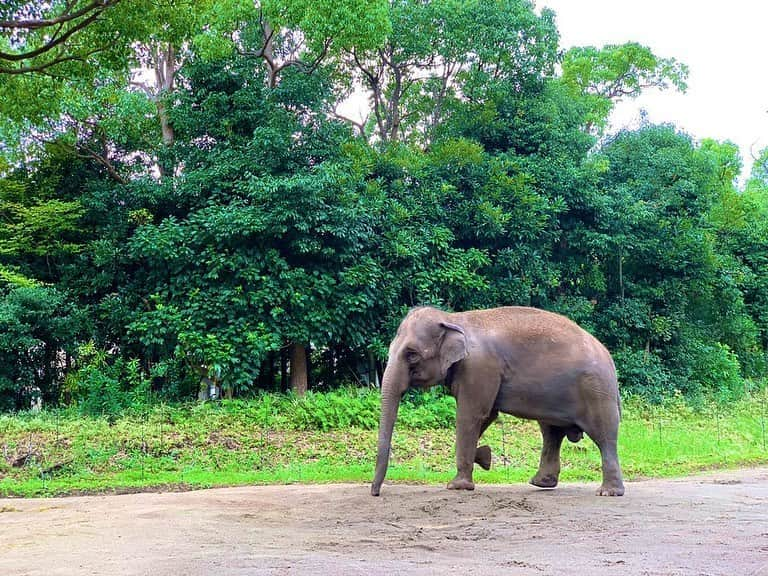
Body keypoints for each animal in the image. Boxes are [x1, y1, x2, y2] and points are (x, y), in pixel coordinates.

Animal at [370, 308, 624, 498]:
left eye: (412, 354)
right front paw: (485, 457)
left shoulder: (479, 368)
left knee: (603, 436)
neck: (453, 319)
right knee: (551, 433)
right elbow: (486, 415)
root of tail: (608, 357)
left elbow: (471, 415)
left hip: (596, 391)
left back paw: (608, 492)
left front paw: (457, 486)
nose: (375, 493)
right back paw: (540, 483)